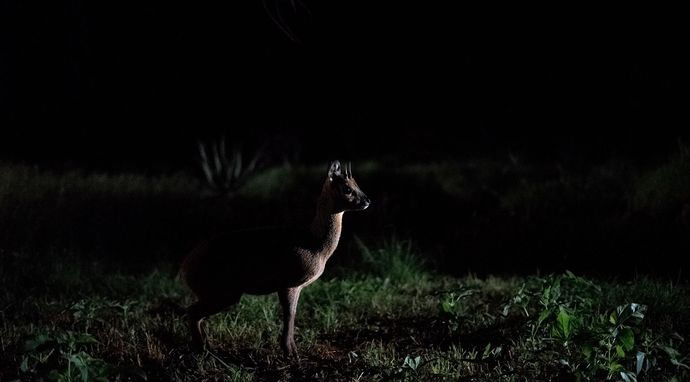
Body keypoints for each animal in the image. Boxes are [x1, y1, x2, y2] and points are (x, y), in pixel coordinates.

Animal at [177, 160, 370, 360]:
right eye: (347, 189)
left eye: (357, 184)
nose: (367, 201)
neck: (314, 243)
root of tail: (184, 268)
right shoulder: (288, 283)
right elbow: (289, 315)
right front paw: (290, 353)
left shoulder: (296, 287)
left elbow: (292, 313)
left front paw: (291, 350)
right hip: (222, 292)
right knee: (191, 312)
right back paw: (202, 349)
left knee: (194, 314)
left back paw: (207, 347)